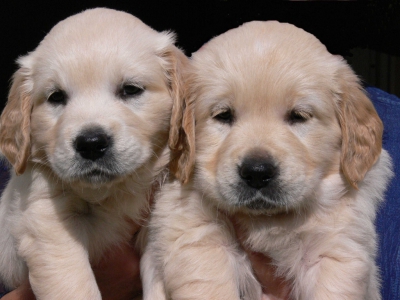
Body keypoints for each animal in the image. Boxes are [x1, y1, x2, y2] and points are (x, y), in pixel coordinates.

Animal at [0, 7, 188, 300]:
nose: (90, 143)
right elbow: (74, 286)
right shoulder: (47, 219)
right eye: (56, 97)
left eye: (131, 89)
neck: (112, 194)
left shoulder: (155, 223)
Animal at [142, 21, 392, 300]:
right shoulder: (197, 237)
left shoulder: (336, 248)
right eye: (224, 115)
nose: (257, 172)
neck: (267, 220)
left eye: (298, 116)